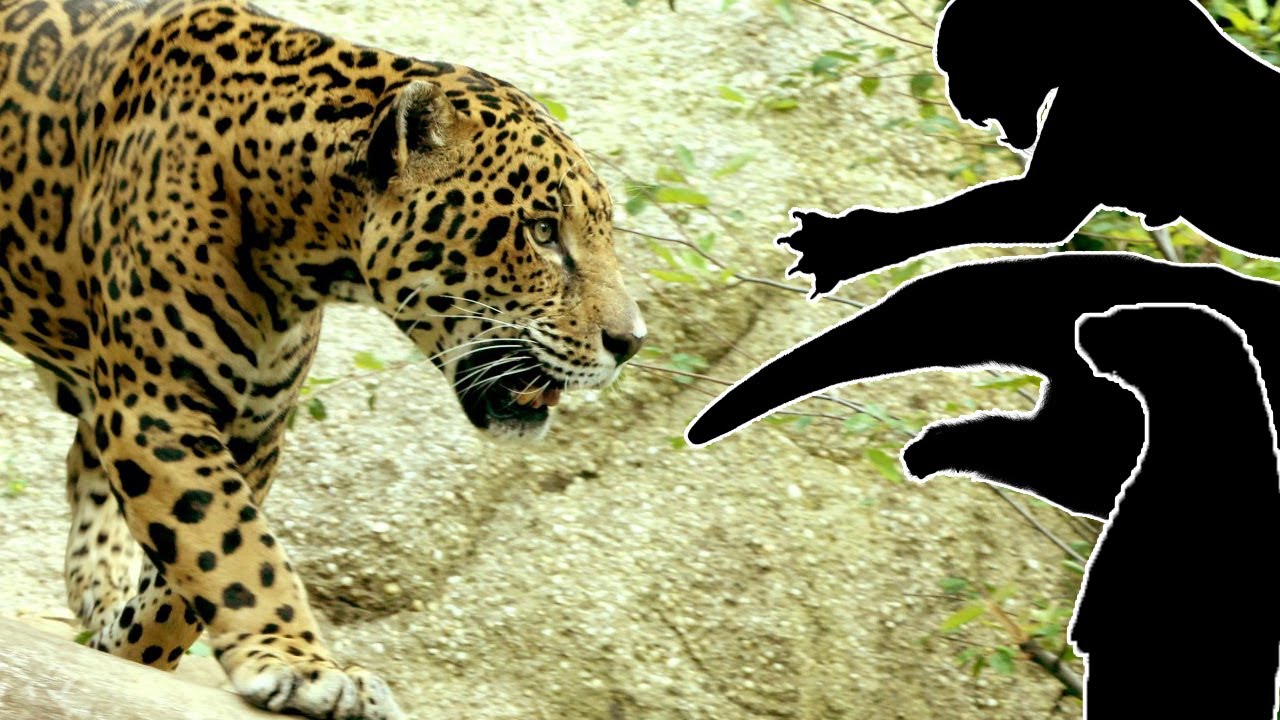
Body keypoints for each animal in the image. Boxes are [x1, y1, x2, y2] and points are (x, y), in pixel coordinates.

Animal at [0, 0, 646, 717]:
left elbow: (186, 584)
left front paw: (128, 648)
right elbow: (232, 544)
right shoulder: (158, 407)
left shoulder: (252, 429)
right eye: (541, 232)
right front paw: (301, 665)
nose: (633, 341)